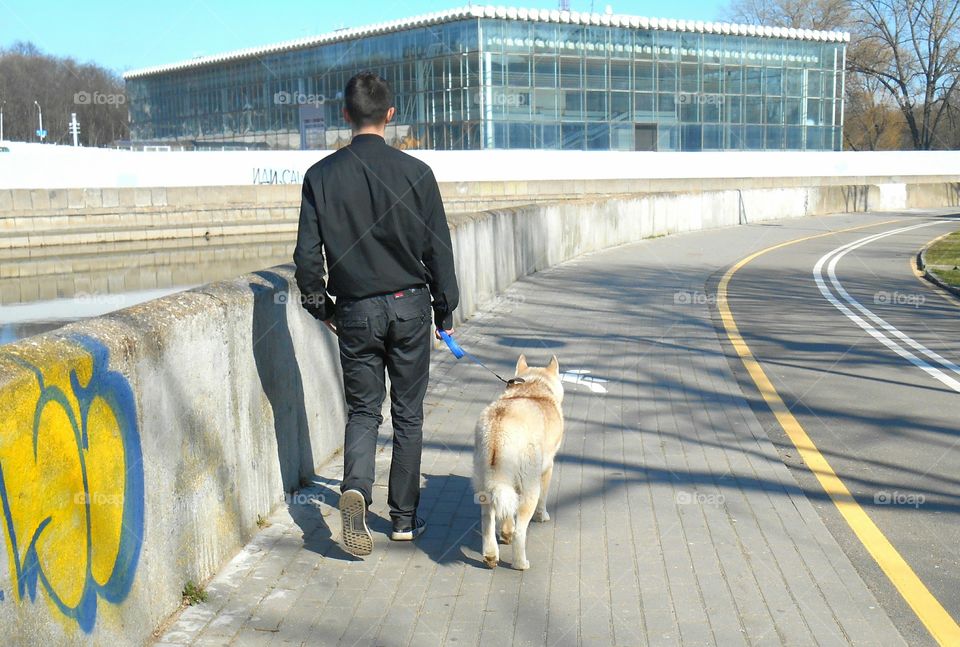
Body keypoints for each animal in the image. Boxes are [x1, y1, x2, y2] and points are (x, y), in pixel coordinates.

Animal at [472, 354, 564, 572]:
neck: (533, 385)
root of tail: (499, 429)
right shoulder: (547, 469)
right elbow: (543, 500)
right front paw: (542, 516)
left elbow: (506, 514)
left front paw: (505, 531)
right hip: (530, 487)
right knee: (520, 532)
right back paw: (520, 563)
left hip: (487, 484)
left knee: (488, 521)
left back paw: (491, 555)